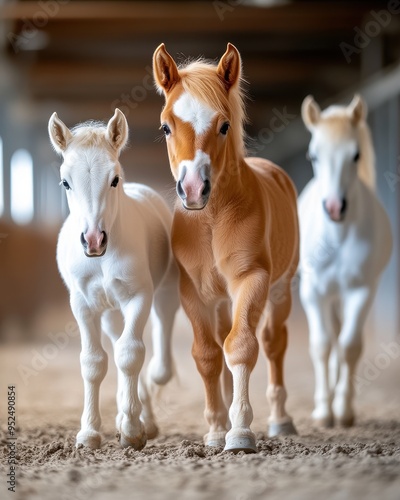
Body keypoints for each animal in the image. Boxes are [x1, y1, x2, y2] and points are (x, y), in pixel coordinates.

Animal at [47, 108, 179, 450]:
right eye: (65, 182)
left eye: (114, 179)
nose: (94, 240)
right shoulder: (83, 306)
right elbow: (94, 362)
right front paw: (90, 432)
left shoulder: (139, 298)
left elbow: (130, 355)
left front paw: (132, 430)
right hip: (108, 313)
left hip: (164, 295)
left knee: (156, 352)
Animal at [298, 95, 392, 428]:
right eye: (313, 155)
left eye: (356, 155)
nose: (334, 207)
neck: (337, 239)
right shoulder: (312, 293)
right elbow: (321, 345)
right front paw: (323, 412)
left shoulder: (360, 291)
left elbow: (350, 346)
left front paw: (343, 410)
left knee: (342, 342)